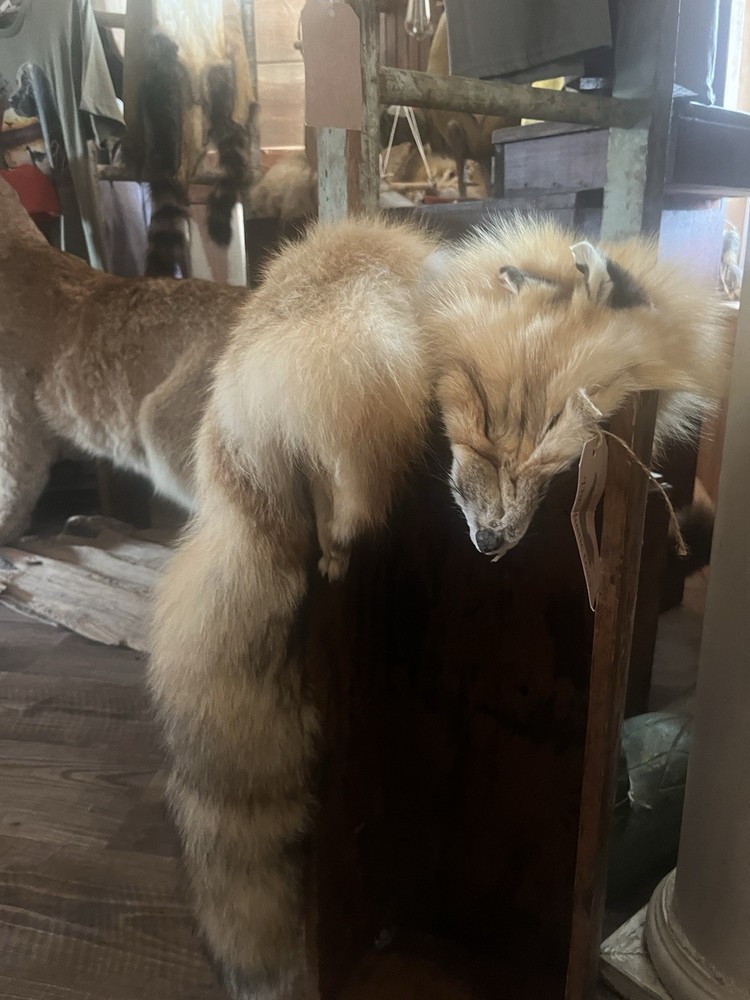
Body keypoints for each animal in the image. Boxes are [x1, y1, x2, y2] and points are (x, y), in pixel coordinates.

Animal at [148, 214, 725, 1000]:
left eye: (559, 450)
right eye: (483, 418)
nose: (488, 541)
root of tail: (233, 467)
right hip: (369, 362)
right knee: (345, 486)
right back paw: (339, 534)